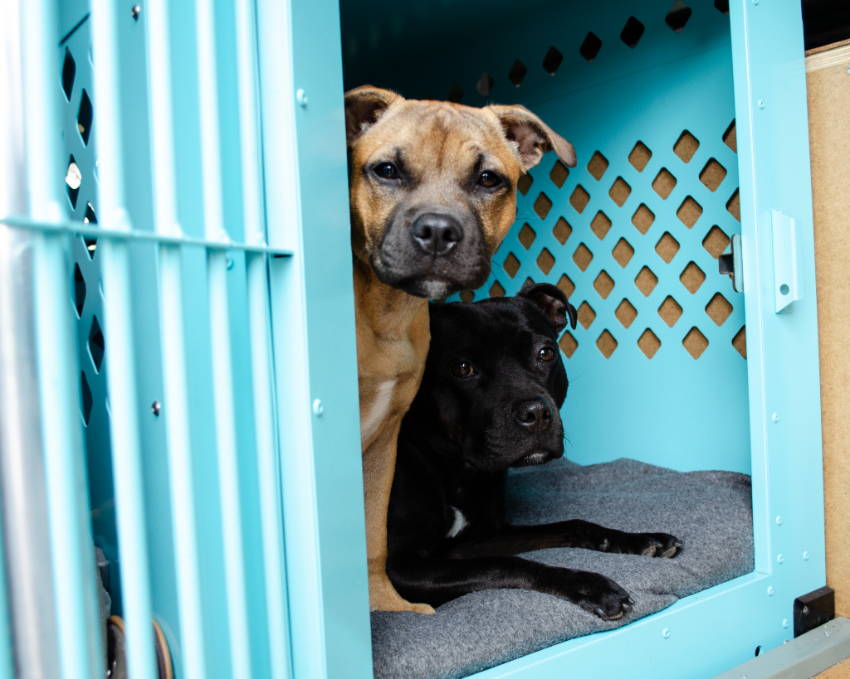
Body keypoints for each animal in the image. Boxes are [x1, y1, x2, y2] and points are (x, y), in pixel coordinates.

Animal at [386, 284, 684, 620]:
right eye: (462, 368)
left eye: (545, 353)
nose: (536, 413)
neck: (455, 469)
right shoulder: (400, 570)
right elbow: (502, 564)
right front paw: (591, 585)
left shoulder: (478, 538)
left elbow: (573, 524)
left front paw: (639, 539)